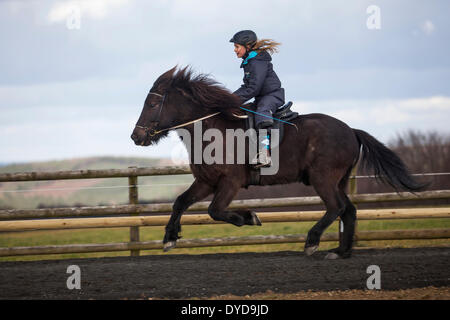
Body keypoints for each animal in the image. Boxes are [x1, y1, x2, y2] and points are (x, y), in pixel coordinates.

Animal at [130, 66, 426, 258]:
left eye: (152, 104)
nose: (136, 136)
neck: (213, 129)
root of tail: (351, 130)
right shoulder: (206, 181)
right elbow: (180, 202)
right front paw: (169, 238)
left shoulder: (230, 182)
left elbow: (215, 211)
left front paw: (248, 217)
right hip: (338, 180)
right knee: (348, 210)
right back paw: (341, 252)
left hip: (323, 178)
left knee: (336, 207)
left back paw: (312, 242)